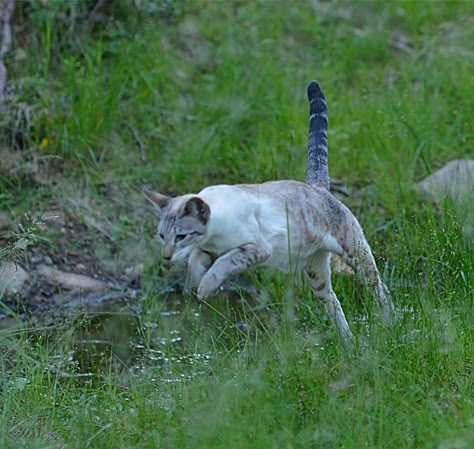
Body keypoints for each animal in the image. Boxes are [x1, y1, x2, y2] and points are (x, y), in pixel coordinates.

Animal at [145, 80, 396, 342]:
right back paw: (347, 341)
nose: (166, 256)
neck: (213, 238)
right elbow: (198, 259)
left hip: (355, 253)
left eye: (181, 236)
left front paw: (205, 287)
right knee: (333, 301)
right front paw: (196, 281)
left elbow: (224, 263)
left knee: (379, 288)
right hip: (316, 273)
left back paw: (390, 323)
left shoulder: (256, 249)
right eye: (161, 236)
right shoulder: (208, 250)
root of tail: (316, 186)